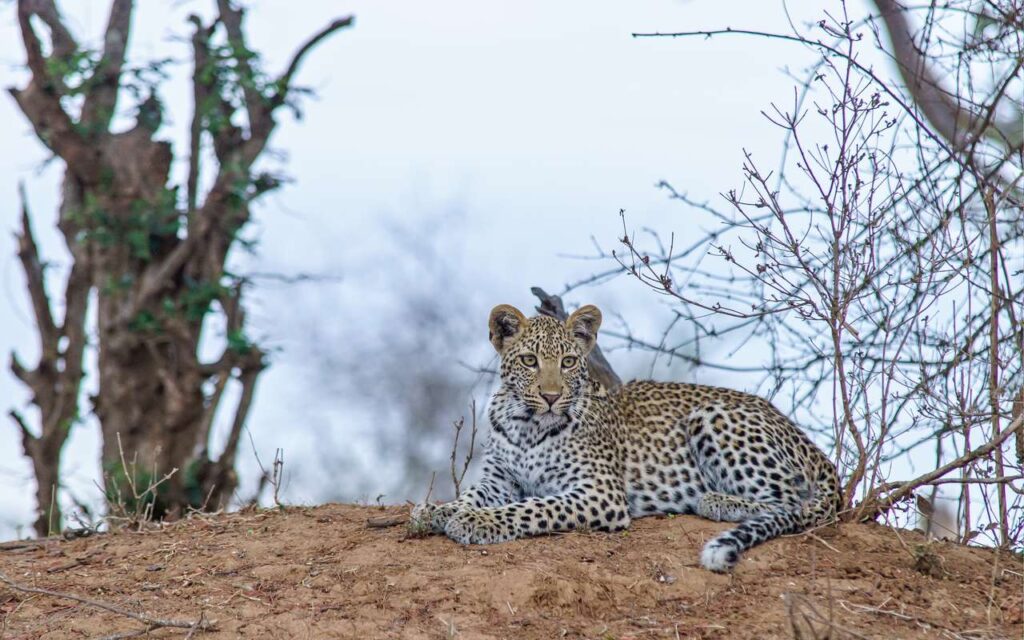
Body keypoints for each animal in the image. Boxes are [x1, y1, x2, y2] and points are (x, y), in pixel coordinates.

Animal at [411, 303, 841, 572]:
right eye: (530, 361)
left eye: (568, 362)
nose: (551, 396)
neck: (527, 424)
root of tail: (809, 443)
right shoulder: (499, 478)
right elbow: (469, 495)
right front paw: (436, 511)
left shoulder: (598, 492)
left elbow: (530, 507)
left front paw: (476, 521)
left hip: (713, 416)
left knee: (795, 504)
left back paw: (718, 500)